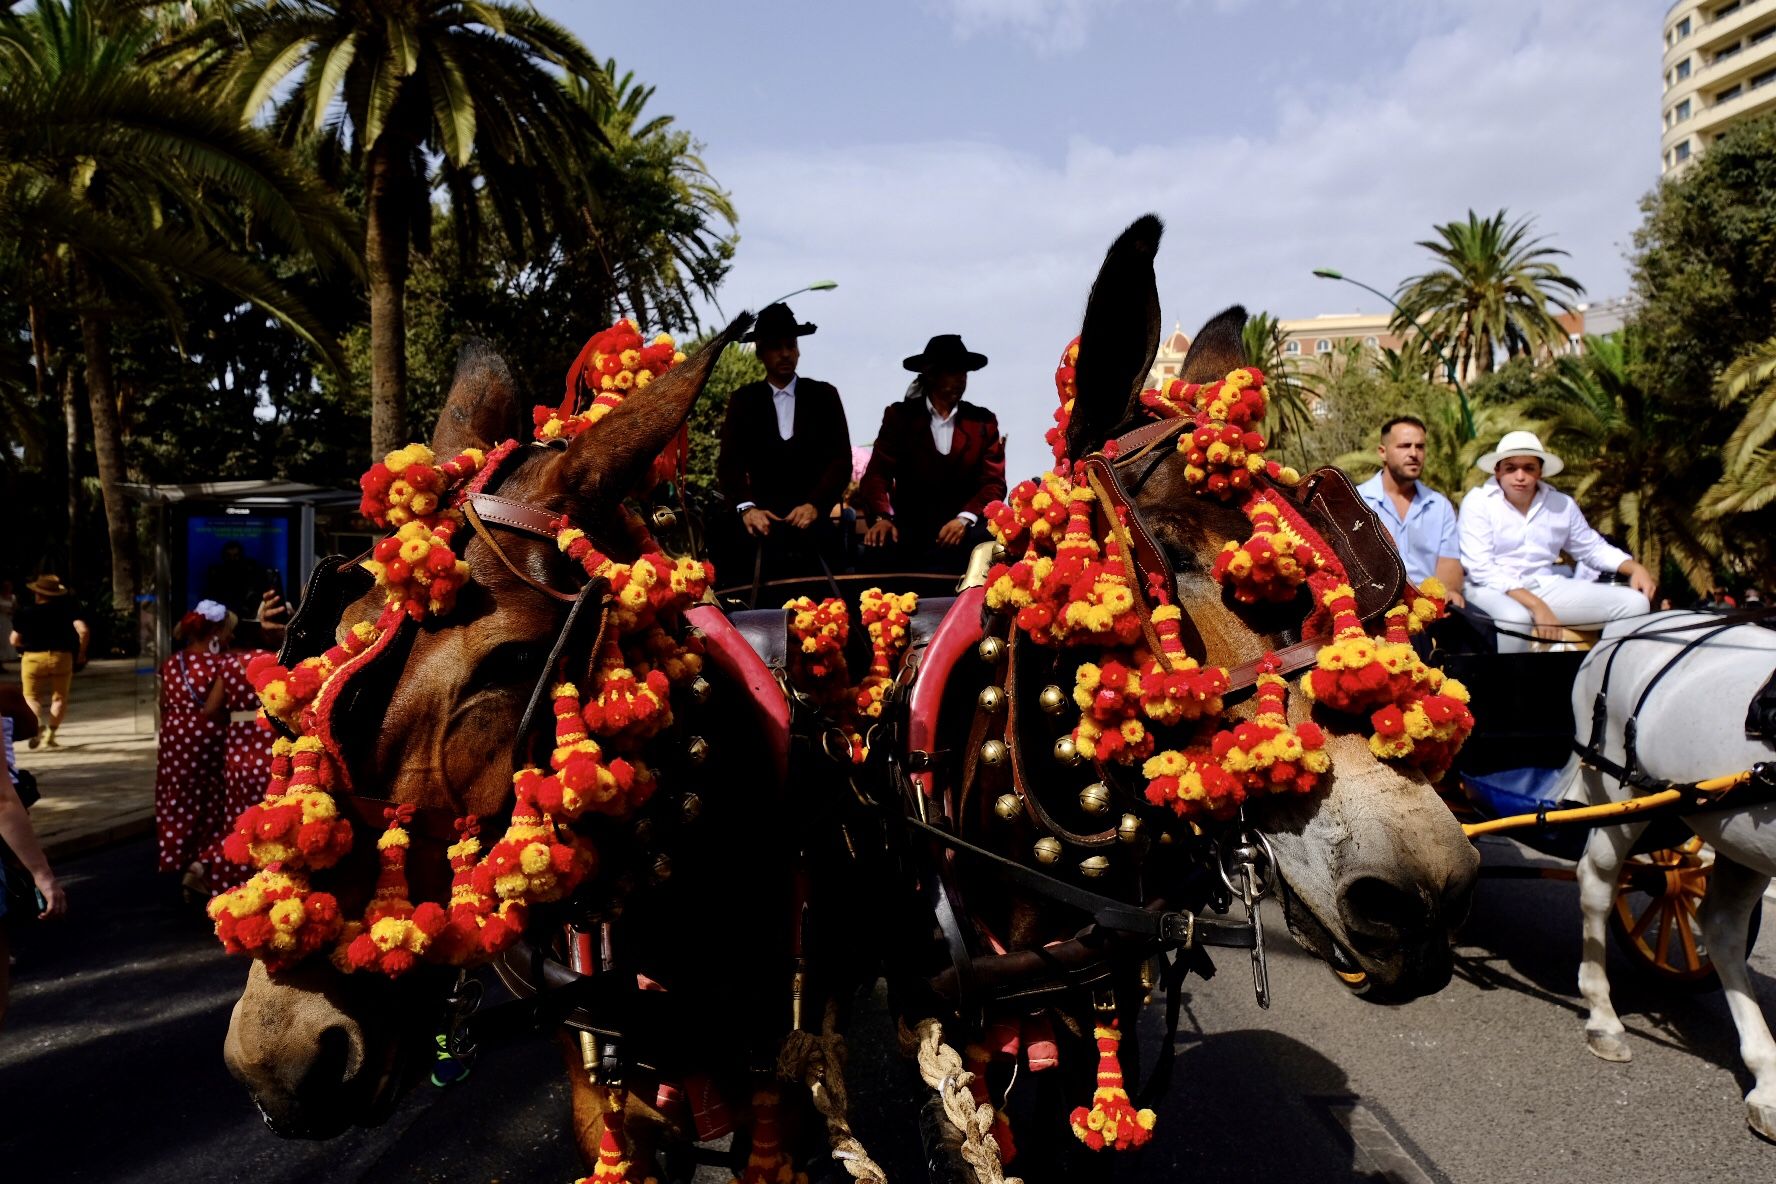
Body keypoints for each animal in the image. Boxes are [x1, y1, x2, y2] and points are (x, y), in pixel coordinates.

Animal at [1562, 610, 1776, 1136]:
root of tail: (1622, 627)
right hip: (1623, 794)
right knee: (1597, 882)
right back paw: (1602, 1015)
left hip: (1735, 831)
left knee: (1720, 926)